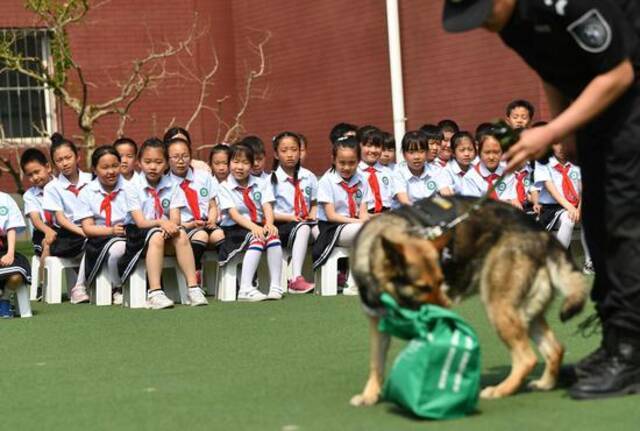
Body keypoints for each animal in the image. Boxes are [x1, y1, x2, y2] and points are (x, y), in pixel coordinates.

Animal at [348, 196, 588, 404]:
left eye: (440, 281)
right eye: (423, 287)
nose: (447, 310)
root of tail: (542, 234)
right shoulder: (378, 325)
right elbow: (376, 363)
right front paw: (370, 395)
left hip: (498, 307)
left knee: (526, 358)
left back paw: (501, 390)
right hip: (525, 313)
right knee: (555, 349)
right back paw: (545, 383)